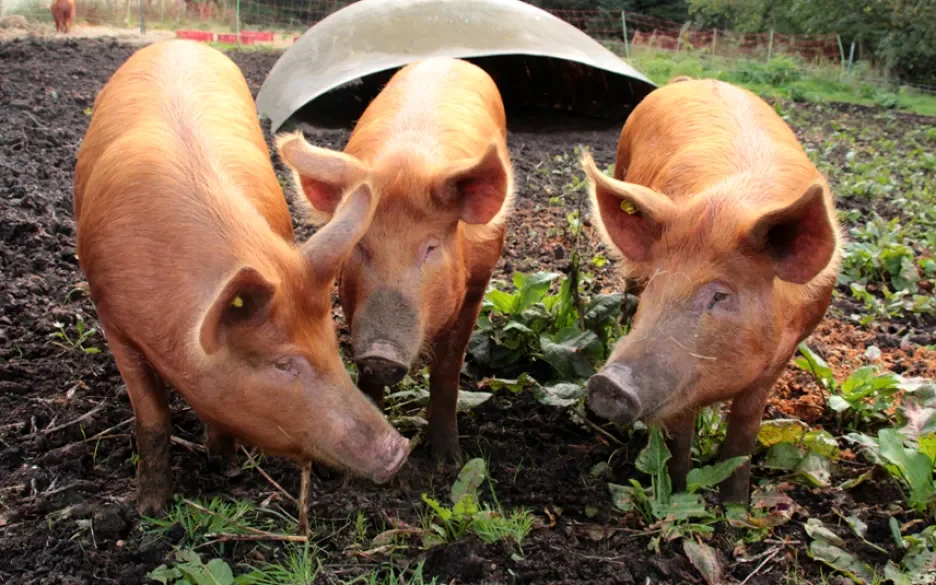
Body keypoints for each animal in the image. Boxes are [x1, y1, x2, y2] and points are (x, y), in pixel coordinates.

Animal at [73, 41, 410, 512]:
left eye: (331, 344)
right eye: (282, 362)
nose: (399, 450)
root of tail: (180, 41)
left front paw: (227, 468)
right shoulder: (112, 317)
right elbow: (153, 416)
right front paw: (150, 509)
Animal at [278, 57, 512, 464]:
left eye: (430, 248)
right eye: (358, 244)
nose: (381, 352)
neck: (408, 161)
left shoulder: (477, 284)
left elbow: (448, 366)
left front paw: (448, 462)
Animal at [584, 77, 840, 502]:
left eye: (720, 295)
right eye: (658, 282)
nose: (608, 382)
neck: (729, 207)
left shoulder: (781, 356)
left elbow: (745, 427)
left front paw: (736, 507)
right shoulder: (686, 377)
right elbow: (679, 433)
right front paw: (678, 495)